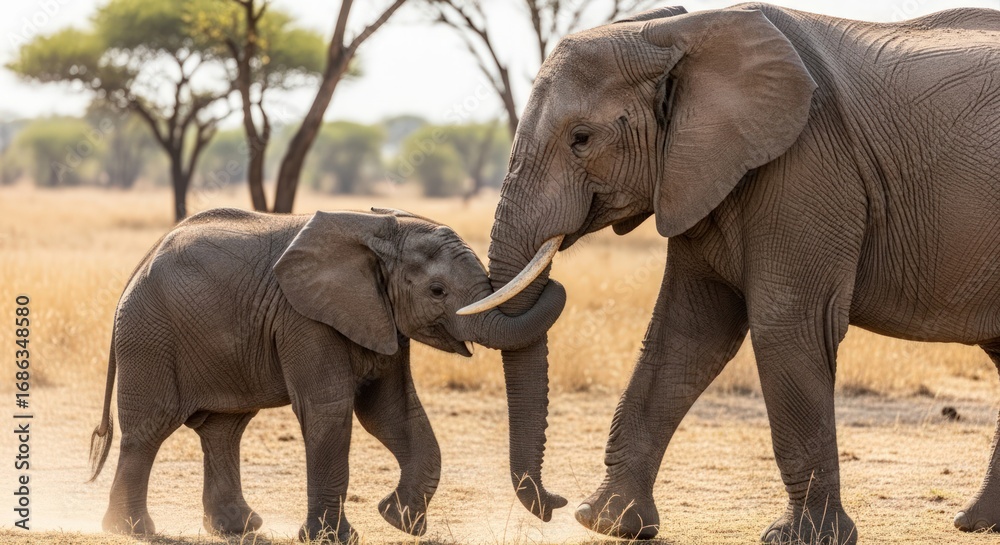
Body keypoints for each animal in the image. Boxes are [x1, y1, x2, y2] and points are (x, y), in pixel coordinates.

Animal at [86, 207, 565, 541]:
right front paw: (336, 539)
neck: (380, 232)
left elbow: (391, 412)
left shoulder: (379, 316)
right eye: (437, 291)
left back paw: (239, 528)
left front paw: (399, 521)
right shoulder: (304, 319)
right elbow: (329, 409)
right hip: (149, 336)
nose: (556, 504)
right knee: (150, 429)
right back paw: (132, 531)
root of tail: (139, 267)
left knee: (224, 429)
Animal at [457, 3, 1000, 544]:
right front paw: (608, 522)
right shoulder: (697, 176)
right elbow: (686, 334)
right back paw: (976, 523)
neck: (677, 32)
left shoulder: (808, 166)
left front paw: (800, 538)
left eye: (581, 139)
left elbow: (786, 327)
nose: (554, 503)